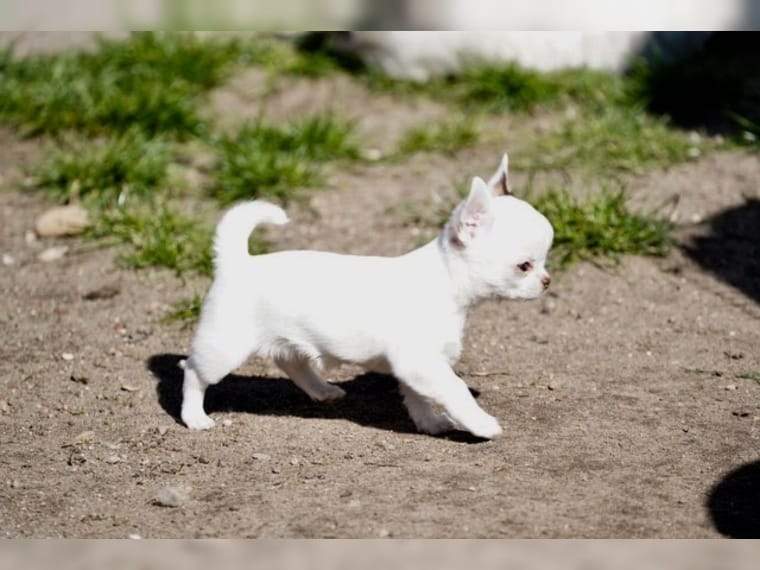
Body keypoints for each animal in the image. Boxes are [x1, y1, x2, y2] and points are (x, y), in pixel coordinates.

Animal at [182, 153, 556, 438]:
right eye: (524, 266)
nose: (547, 281)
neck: (447, 281)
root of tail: (237, 261)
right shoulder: (421, 360)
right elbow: (455, 390)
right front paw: (481, 424)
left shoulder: (417, 366)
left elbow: (418, 397)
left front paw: (431, 423)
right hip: (224, 347)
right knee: (192, 371)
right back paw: (194, 418)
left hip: (287, 341)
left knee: (291, 361)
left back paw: (322, 390)